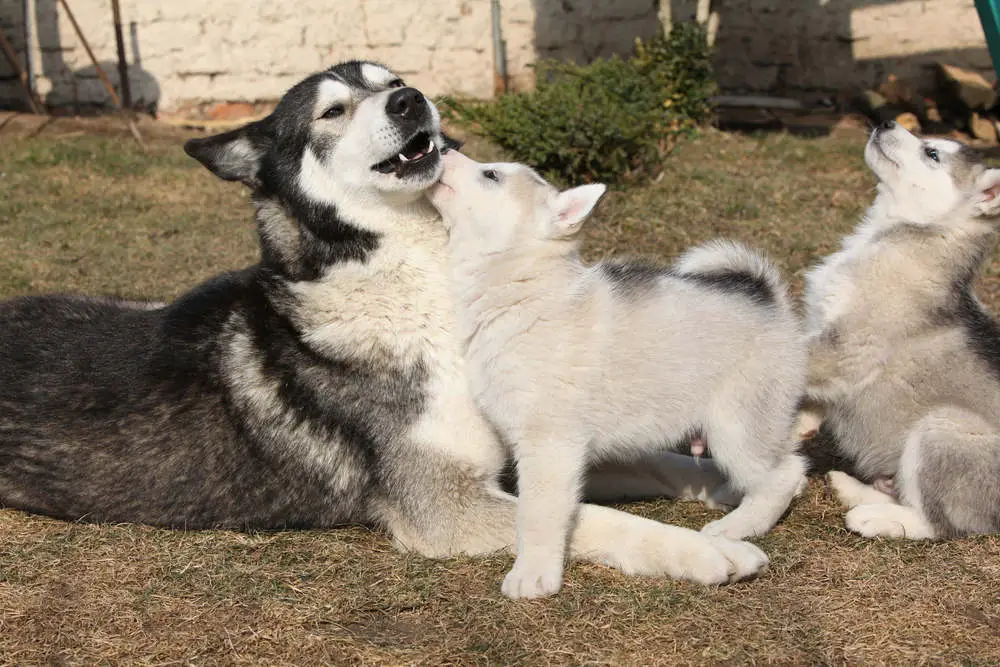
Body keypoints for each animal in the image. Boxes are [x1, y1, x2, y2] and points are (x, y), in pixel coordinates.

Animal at [0, 64, 764, 596]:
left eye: (392, 82)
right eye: (334, 110)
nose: (412, 100)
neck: (423, 287)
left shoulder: (530, 444)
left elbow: (652, 463)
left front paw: (731, 489)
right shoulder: (442, 503)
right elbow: (589, 518)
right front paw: (710, 551)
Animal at [428, 151, 804, 600]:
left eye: (491, 175)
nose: (443, 150)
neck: (524, 291)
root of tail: (769, 298)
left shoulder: (550, 445)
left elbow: (536, 513)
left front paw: (533, 575)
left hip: (738, 427)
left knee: (785, 475)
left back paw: (739, 525)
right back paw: (731, 494)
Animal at [804, 121, 1000, 544]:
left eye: (932, 153)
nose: (886, 122)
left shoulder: (847, 346)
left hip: (941, 431)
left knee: (938, 523)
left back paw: (874, 517)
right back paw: (855, 489)